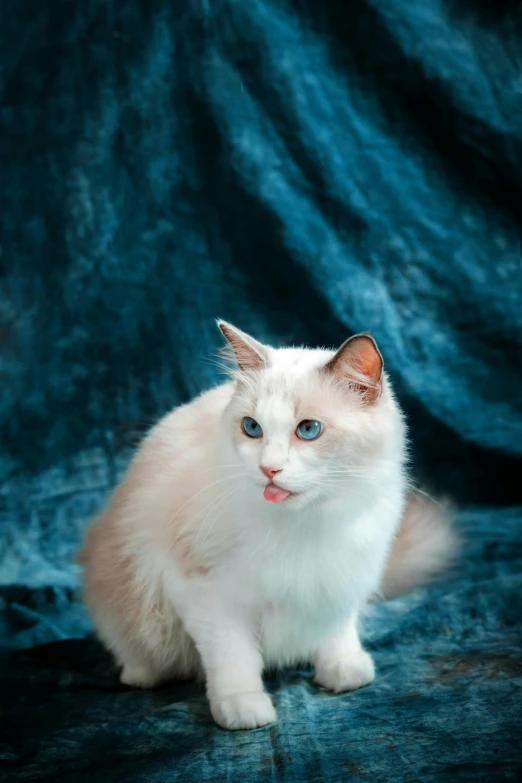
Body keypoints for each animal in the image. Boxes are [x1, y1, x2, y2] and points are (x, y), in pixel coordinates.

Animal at [78, 322, 456, 732]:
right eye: (252, 428)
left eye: (308, 430)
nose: (268, 469)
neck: (307, 522)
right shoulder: (204, 592)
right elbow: (233, 657)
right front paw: (242, 708)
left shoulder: (343, 573)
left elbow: (337, 629)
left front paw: (342, 670)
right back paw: (141, 674)